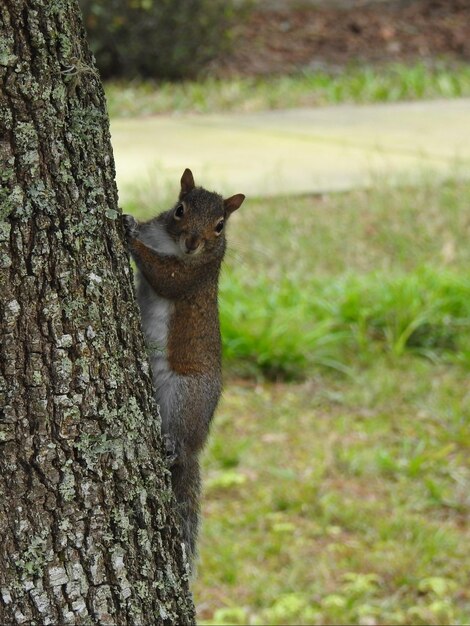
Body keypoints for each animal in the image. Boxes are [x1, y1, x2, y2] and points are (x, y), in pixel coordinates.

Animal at [123, 168, 244, 568]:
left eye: (220, 226)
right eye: (179, 210)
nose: (193, 242)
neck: (173, 246)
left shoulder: (193, 275)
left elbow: (164, 275)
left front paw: (129, 238)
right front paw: (129, 219)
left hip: (184, 397)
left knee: (181, 441)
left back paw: (174, 446)